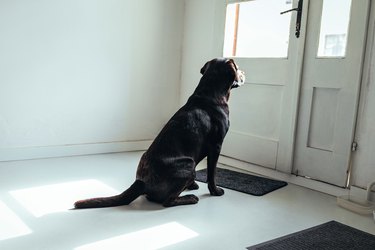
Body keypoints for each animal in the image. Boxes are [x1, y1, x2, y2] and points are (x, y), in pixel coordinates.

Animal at [74, 57, 245, 208]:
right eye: (237, 68)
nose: (244, 72)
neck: (210, 93)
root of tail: (141, 183)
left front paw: (193, 185)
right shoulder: (216, 146)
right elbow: (211, 174)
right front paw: (215, 191)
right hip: (189, 163)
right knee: (167, 201)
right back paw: (190, 198)